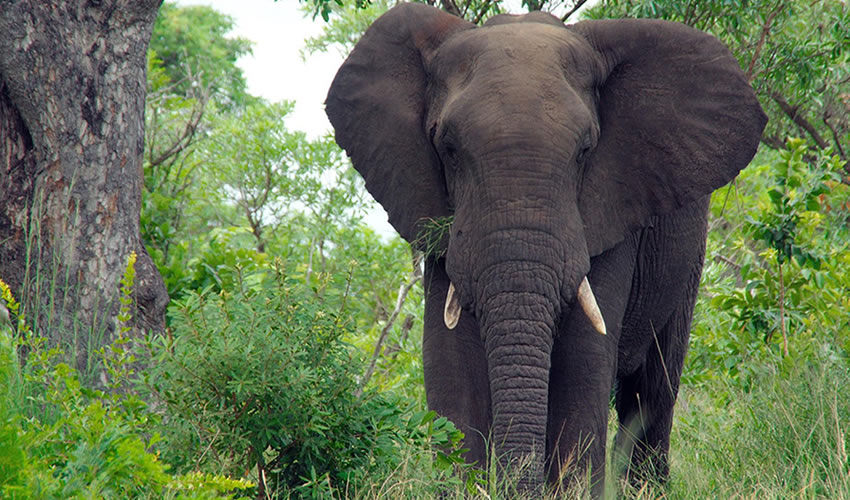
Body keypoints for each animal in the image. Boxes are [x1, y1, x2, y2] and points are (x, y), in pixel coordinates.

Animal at [324, 2, 768, 496]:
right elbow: (450, 362)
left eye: (586, 150)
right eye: (448, 148)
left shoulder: (611, 204)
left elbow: (582, 360)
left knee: (653, 387)